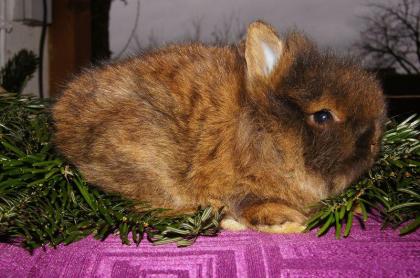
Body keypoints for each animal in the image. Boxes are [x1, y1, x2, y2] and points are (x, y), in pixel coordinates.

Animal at [53, 20, 388, 232]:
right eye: (323, 116)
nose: (374, 142)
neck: (266, 132)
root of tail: (61, 124)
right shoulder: (244, 189)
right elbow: (255, 206)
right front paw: (288, 220)